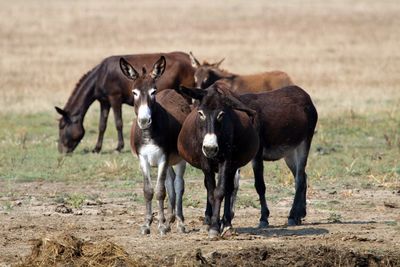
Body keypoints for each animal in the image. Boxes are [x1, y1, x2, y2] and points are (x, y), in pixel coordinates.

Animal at [55, 51, 195, 154]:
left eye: (62, 126)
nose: (61, 150)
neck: (101, 75)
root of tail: (190, 59)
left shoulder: (115, 97)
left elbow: (118, 123)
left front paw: (118, 148)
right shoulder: (104, 101)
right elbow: (102, 125)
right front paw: (97, 149)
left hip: (185, 93)